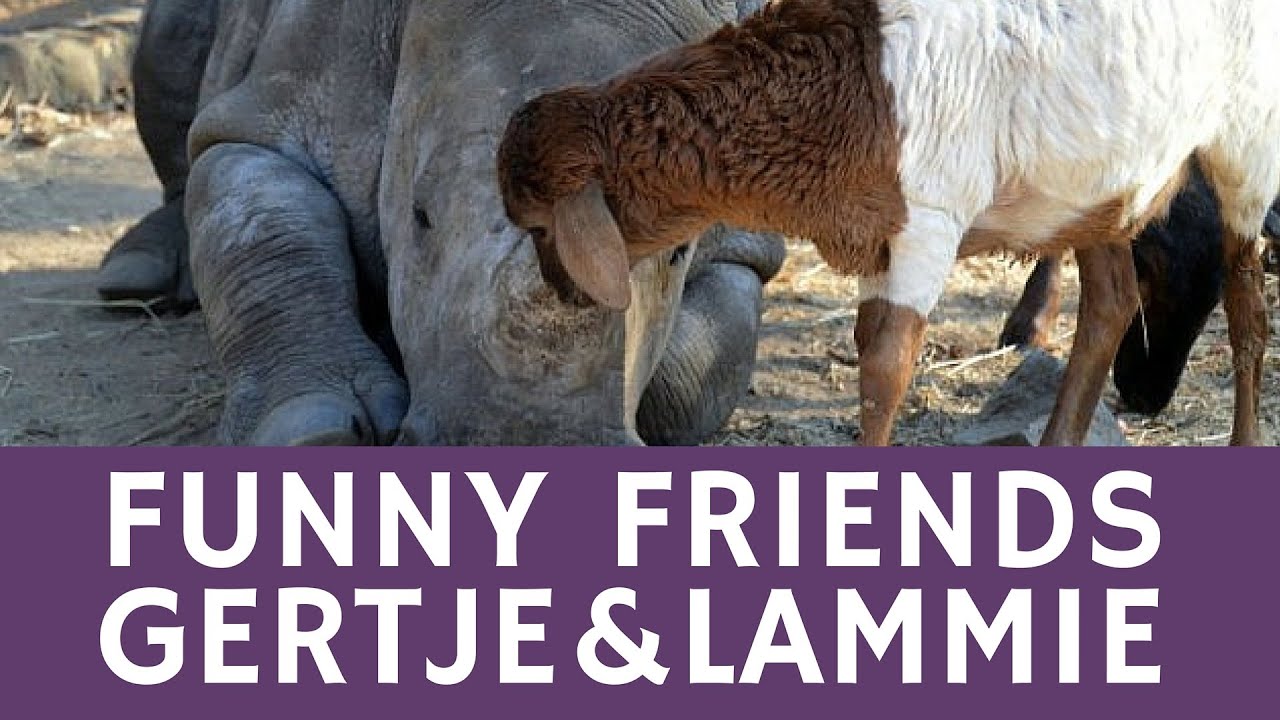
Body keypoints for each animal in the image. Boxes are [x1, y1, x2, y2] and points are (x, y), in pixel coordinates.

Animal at [97, 0, 784, 446]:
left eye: (678, 254)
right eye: (420, 217)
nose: (519, 438)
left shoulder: (744, 236)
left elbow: (695, 367)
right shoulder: (267, 118)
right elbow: (263, 232)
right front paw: (310, 434)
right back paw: (132, 281)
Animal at [497, 0, 1280, 446]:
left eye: (540, 226)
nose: (562, 291)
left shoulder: (929, 219)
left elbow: (886, 365)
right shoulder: (875, 235)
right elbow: (866, 345)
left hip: (1245, 144)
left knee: (1247, 303)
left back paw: (1242, 441)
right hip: (1093, 182)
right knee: (1112, 303)